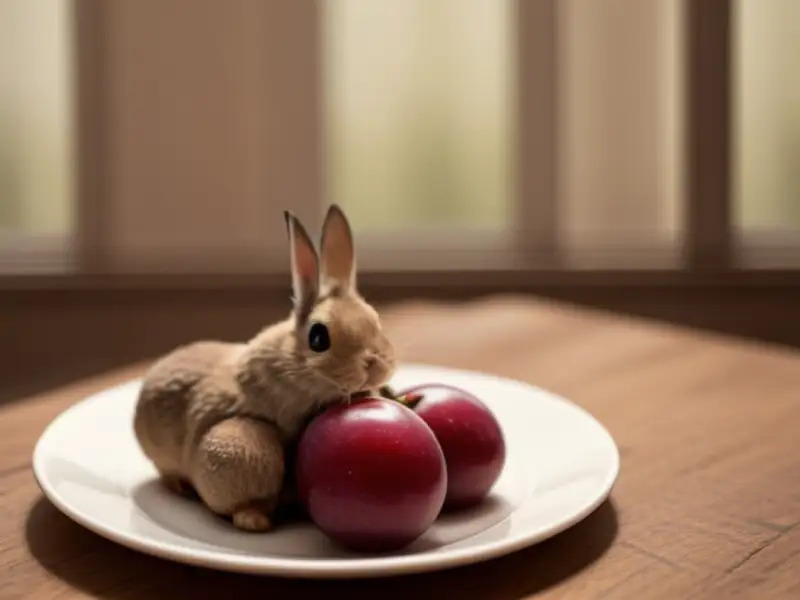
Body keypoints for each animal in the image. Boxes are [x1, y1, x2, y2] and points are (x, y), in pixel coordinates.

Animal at [133, 205, 397, 532]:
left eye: (375, 321)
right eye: (318, 337)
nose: (375, 366)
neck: (294, 363)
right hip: (244, 449)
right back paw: (249, 518)